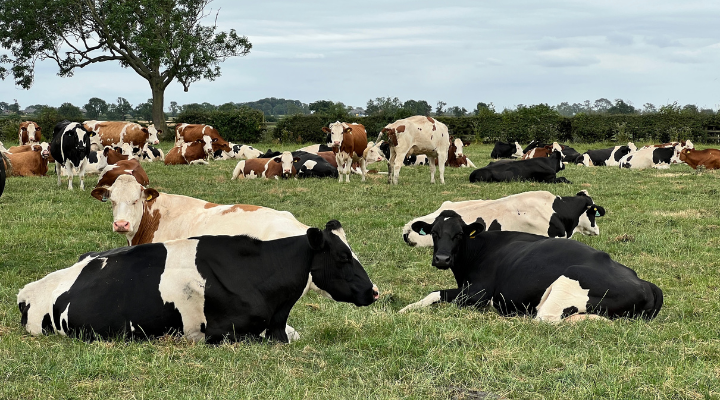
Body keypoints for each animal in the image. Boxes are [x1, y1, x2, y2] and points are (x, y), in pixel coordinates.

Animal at [400, 209, 664, 322]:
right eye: (434, 233)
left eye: (458, 235)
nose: (442, 259)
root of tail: (645, 283)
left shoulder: (479, 292)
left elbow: (436, 293)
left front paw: (405, 308)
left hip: (566, 286)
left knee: (547, 318)